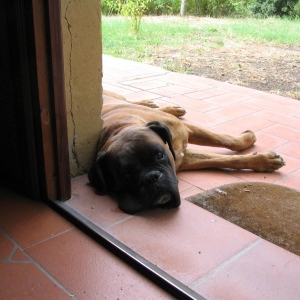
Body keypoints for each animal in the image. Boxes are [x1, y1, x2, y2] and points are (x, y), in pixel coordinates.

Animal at [88, 90, 284, 214]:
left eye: (159, 155)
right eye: (125, 177)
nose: (151, 177)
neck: (122, 127)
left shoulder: (187, 131)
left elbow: (226, 140)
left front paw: (254, 148)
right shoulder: (183, 159)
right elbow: (223, 159)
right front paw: (265, 161)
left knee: (128, 99)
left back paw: (159, 106)